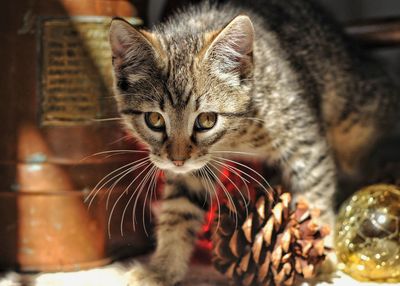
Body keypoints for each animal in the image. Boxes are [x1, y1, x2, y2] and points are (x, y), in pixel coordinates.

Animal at [109, 0, 400, 284]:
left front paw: (320, 247)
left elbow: (314, 191)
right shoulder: (193, 170)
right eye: (155, 120)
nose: (177, 160)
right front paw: (161, 269)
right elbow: (179, 210)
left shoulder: (303, 141)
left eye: (206, 119)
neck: (235, 136)